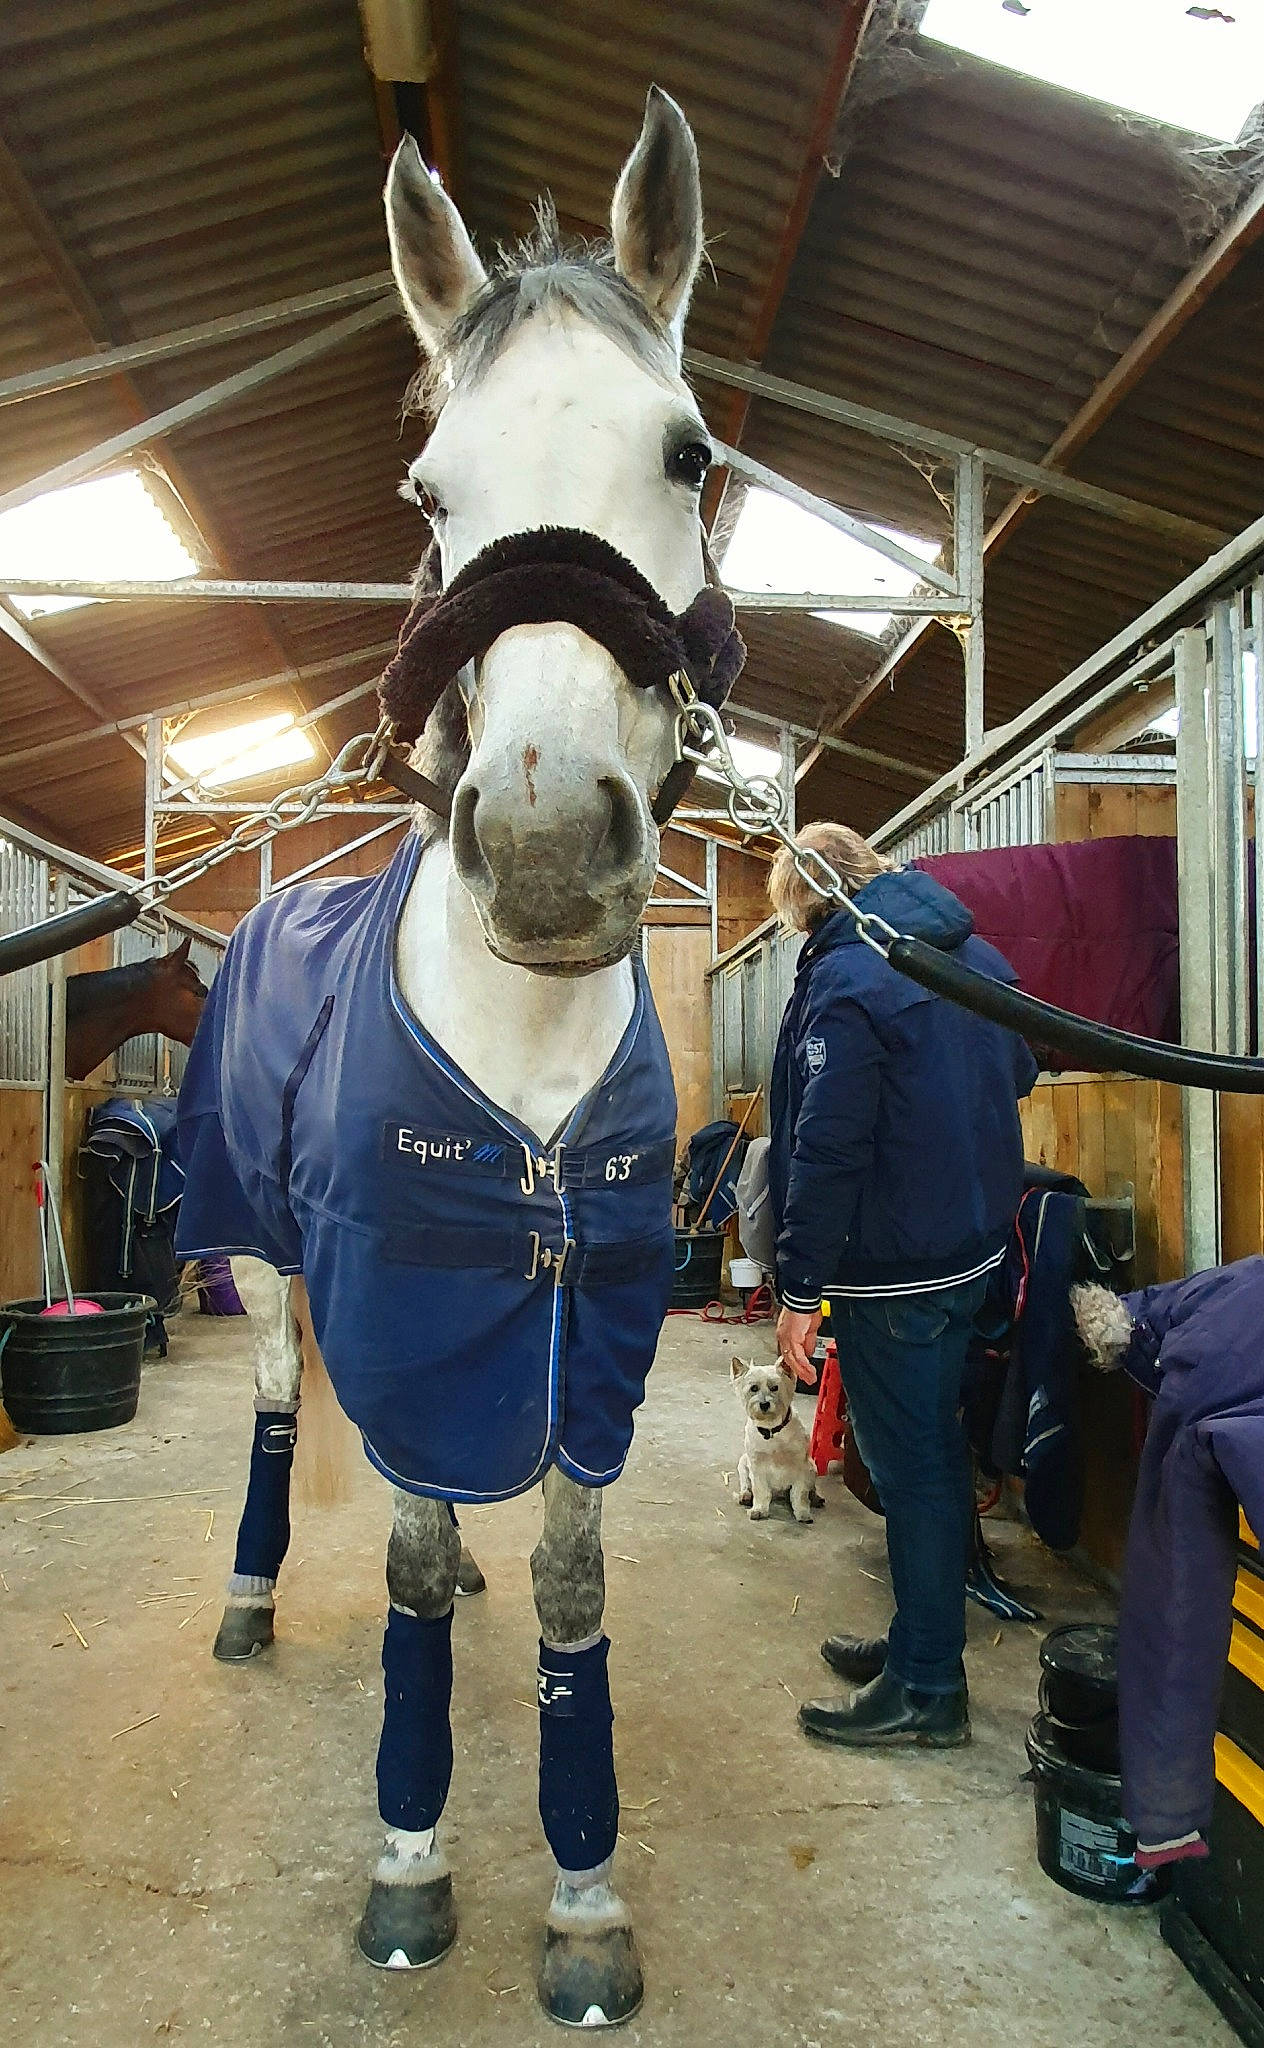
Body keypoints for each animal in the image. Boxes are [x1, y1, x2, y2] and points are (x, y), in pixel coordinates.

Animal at [174, 88, 733, 2027]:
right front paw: (410, 1864)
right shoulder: (405, 1279)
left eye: (687, 452)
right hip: (261, 1248)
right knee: (281, 1399)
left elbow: (567, 1578)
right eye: (429, 491)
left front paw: (582, 1901)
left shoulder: (592, 1326)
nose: (551, 845)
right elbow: (404, 1556)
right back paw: (250, 1598)